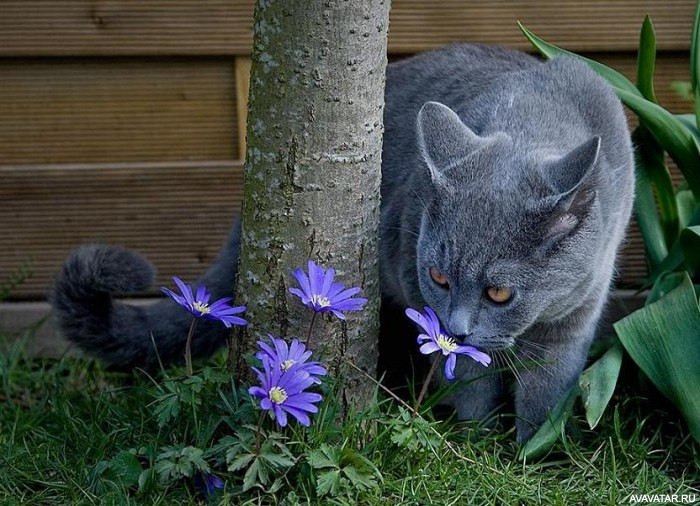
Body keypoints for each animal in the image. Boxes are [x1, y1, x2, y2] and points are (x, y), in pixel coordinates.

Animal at [47, 44, 636, 442]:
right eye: (438, 277)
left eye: (499, 294)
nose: (455, 329)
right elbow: (468, 378)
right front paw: (477, 442)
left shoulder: (575, 318)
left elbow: (546, 392)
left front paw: (535, 455)